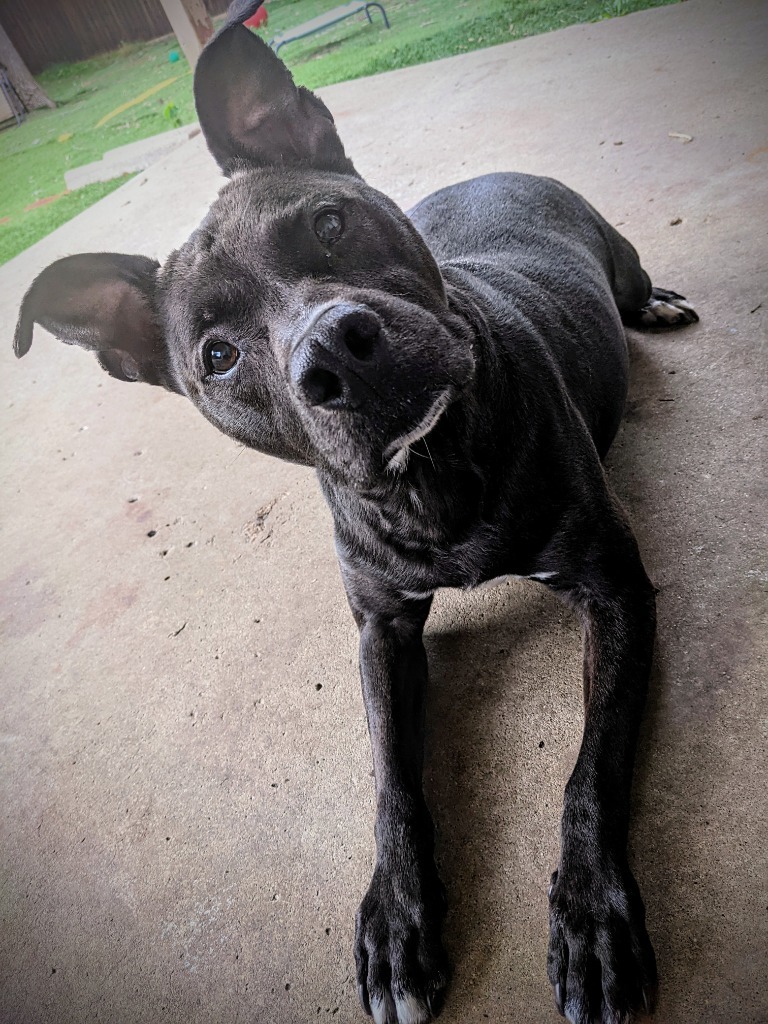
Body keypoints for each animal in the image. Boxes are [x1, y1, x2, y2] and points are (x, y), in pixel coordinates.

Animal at [13, 4, 696, 1019]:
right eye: (216, 355)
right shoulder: (381, 631)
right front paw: (398, 915)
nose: (334, 350)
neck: (430, 474)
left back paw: (660, 305)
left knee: (638, 286)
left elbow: (594, 763)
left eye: (328, 223)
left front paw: (592, 917)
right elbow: (391, 780)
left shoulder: (615, 591)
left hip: (621, 265)